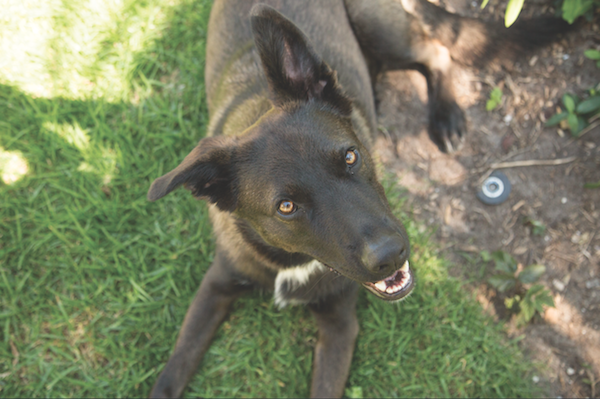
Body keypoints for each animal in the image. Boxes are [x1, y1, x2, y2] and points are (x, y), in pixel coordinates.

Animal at [148, 0, 568, 396]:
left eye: (350, 156)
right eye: (286, 207)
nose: (390, 255)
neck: (291, 262)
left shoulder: (339, 325)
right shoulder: (216, 285)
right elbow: (177, 363)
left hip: (379, 27)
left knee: (435, 51)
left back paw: (446, 116)